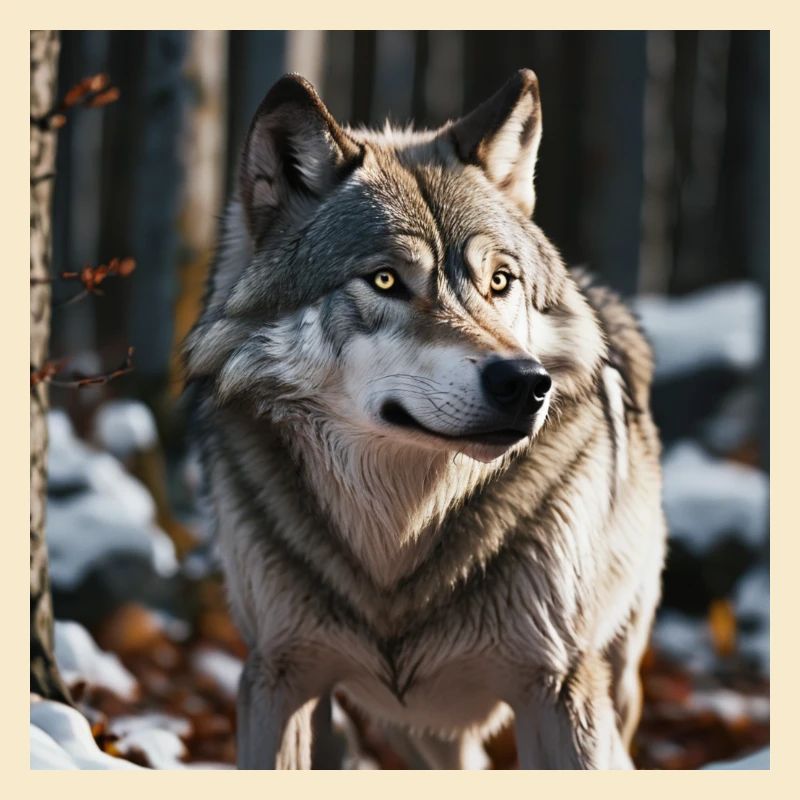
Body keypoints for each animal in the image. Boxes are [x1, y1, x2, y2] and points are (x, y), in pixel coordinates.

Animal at [184, 69, 667, 769]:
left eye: (500, 281)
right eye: (386, 280)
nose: (526, 383)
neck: (400, 538)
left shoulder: (559, 687)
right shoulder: (279, 676)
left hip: (614, 681)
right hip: (415, 733)